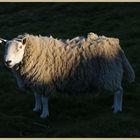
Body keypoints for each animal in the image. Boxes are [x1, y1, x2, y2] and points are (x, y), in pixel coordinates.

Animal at [1, 32, 135, 118]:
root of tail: (114, 43)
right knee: (116, 91)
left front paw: (44, 114)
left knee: (119, 91)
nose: (8, 62)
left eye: (19, 47)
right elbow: (36, 96)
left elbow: (44, 99)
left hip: (110, 73)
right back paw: (114, 106)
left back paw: (117, 109)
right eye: (4, 48)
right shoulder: (35, 80)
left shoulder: (44, 81)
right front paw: (36, 109)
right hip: (110, 74)